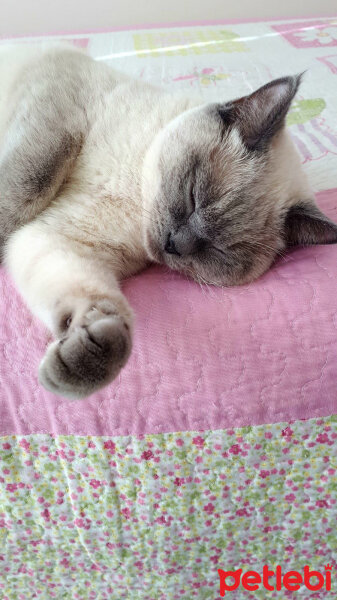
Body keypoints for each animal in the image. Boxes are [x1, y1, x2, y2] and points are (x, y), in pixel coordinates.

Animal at [0, 43, 336, 398]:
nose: (174, 244)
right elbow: (27, 186)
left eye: (218, 251)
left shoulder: (62, 241)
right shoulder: (59, 100)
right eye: (193, 197)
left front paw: (88, 359)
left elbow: (88, 297)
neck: (136, 198)